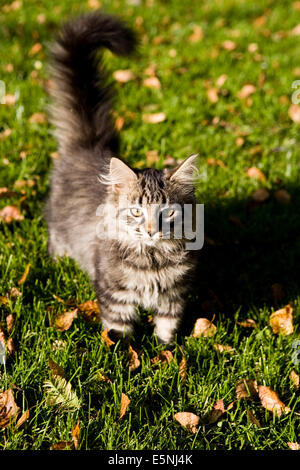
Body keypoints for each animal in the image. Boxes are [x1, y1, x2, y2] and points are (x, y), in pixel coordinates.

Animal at [45, 11, 200, 346]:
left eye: (169, 212)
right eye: (137, 211)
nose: (152, 231)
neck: (153, 259)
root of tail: (87, 144)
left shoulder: (173, 297)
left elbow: (167, 330)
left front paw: (167, 354)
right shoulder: (116, 297)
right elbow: (119, 333)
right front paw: (124, 356)